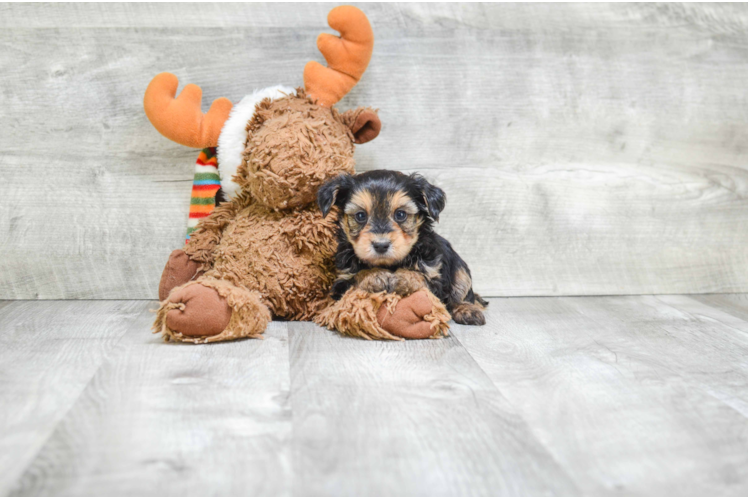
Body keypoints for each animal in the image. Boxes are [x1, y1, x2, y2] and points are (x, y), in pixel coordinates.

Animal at [314, 170, 486, 326]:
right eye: (360, 216)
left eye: (401, 214)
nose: (381, 245)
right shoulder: (342, 280)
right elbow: (356, 277)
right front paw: (376, 275)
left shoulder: (434, 275)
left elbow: (420, 276)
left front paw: (401, 278)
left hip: (459, 268)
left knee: (462, 291)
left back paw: (467, 309)